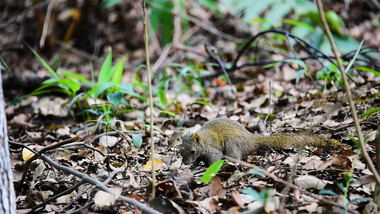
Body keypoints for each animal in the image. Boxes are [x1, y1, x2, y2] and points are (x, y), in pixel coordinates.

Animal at [180, 118, 342, 168]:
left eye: (193, 151)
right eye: (180, 151)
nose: (185, 163)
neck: (203, 141)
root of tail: (252, 140)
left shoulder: (212, 150)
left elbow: (215, 159)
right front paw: (193, 166)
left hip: (233, 144)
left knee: (235, 156)